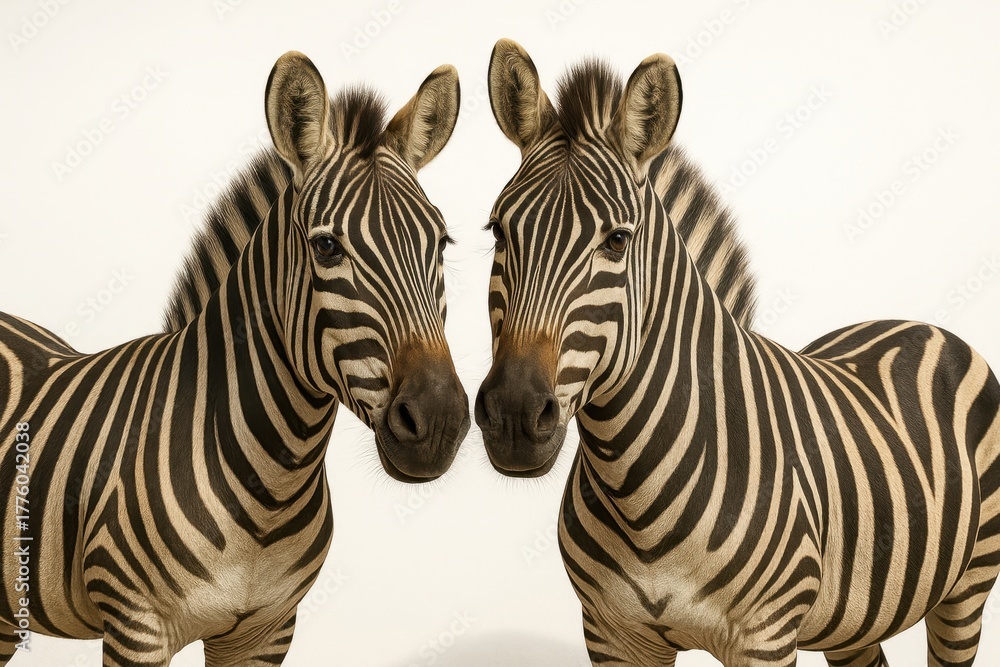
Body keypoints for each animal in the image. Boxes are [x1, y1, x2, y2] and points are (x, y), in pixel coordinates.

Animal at [0, 51, 469, 665]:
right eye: (326, 247)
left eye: (440, 244)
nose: (438, 421)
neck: (268, 490)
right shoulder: (136, 627)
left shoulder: (267, 630)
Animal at [475, 39, 1000, 666]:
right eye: (498, 232)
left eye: (617, 241)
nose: (513, 415)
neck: (636, 492)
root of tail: (916, 323)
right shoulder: (610, 634)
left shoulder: (764, 637)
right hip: (857, 617)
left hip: (969, 584)